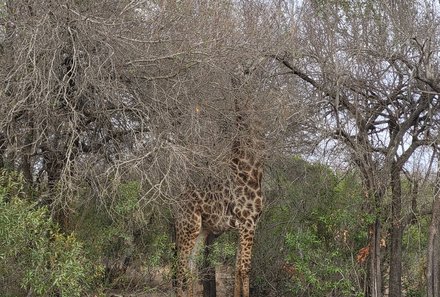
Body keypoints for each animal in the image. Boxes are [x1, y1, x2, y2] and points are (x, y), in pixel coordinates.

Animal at [174, 105, 264, 294]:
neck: (250, 174)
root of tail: (176, 204)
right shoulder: (248, 223)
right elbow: (245, 269)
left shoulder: (245, 226)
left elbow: (237, 269)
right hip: (187, 228)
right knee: (180, 267)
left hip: (201, 230)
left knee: (191, 266)